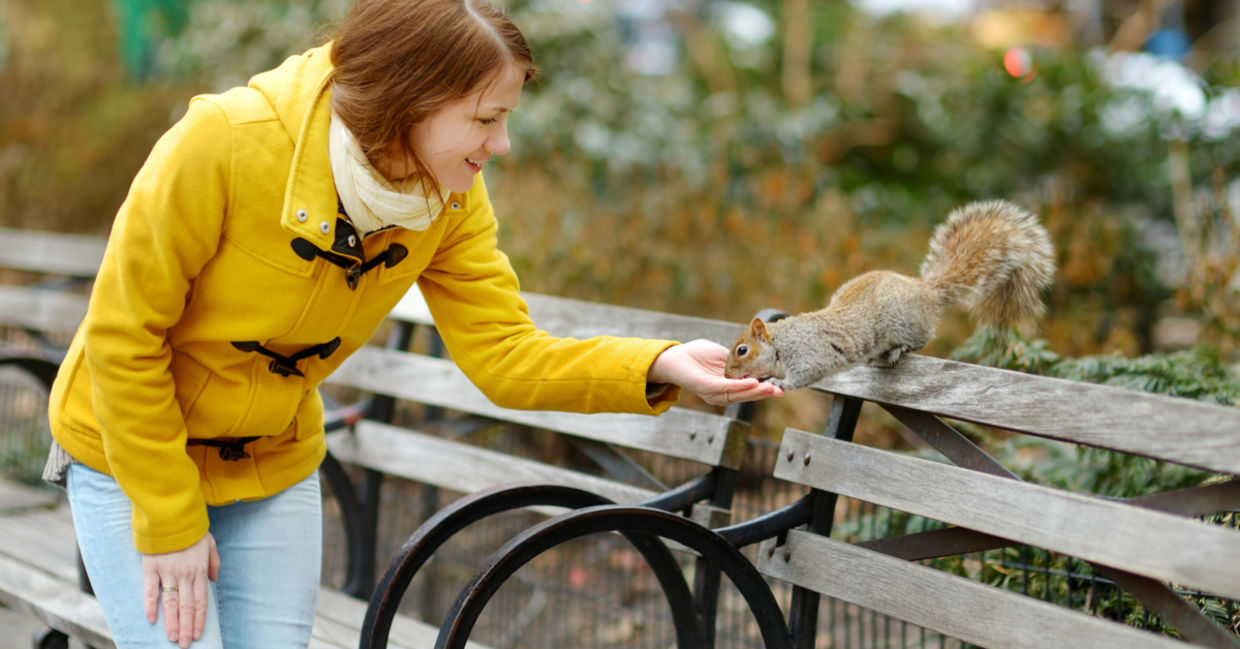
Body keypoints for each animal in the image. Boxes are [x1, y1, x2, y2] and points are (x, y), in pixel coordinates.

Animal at [724, 199, 1056, 390]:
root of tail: (925, 291)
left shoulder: (810, 352)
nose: (726, 375)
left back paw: (898, 350)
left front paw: (779, 382)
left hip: (902, 321)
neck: (780, 343)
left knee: (922, 338)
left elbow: (806, 373)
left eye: (742, 350)